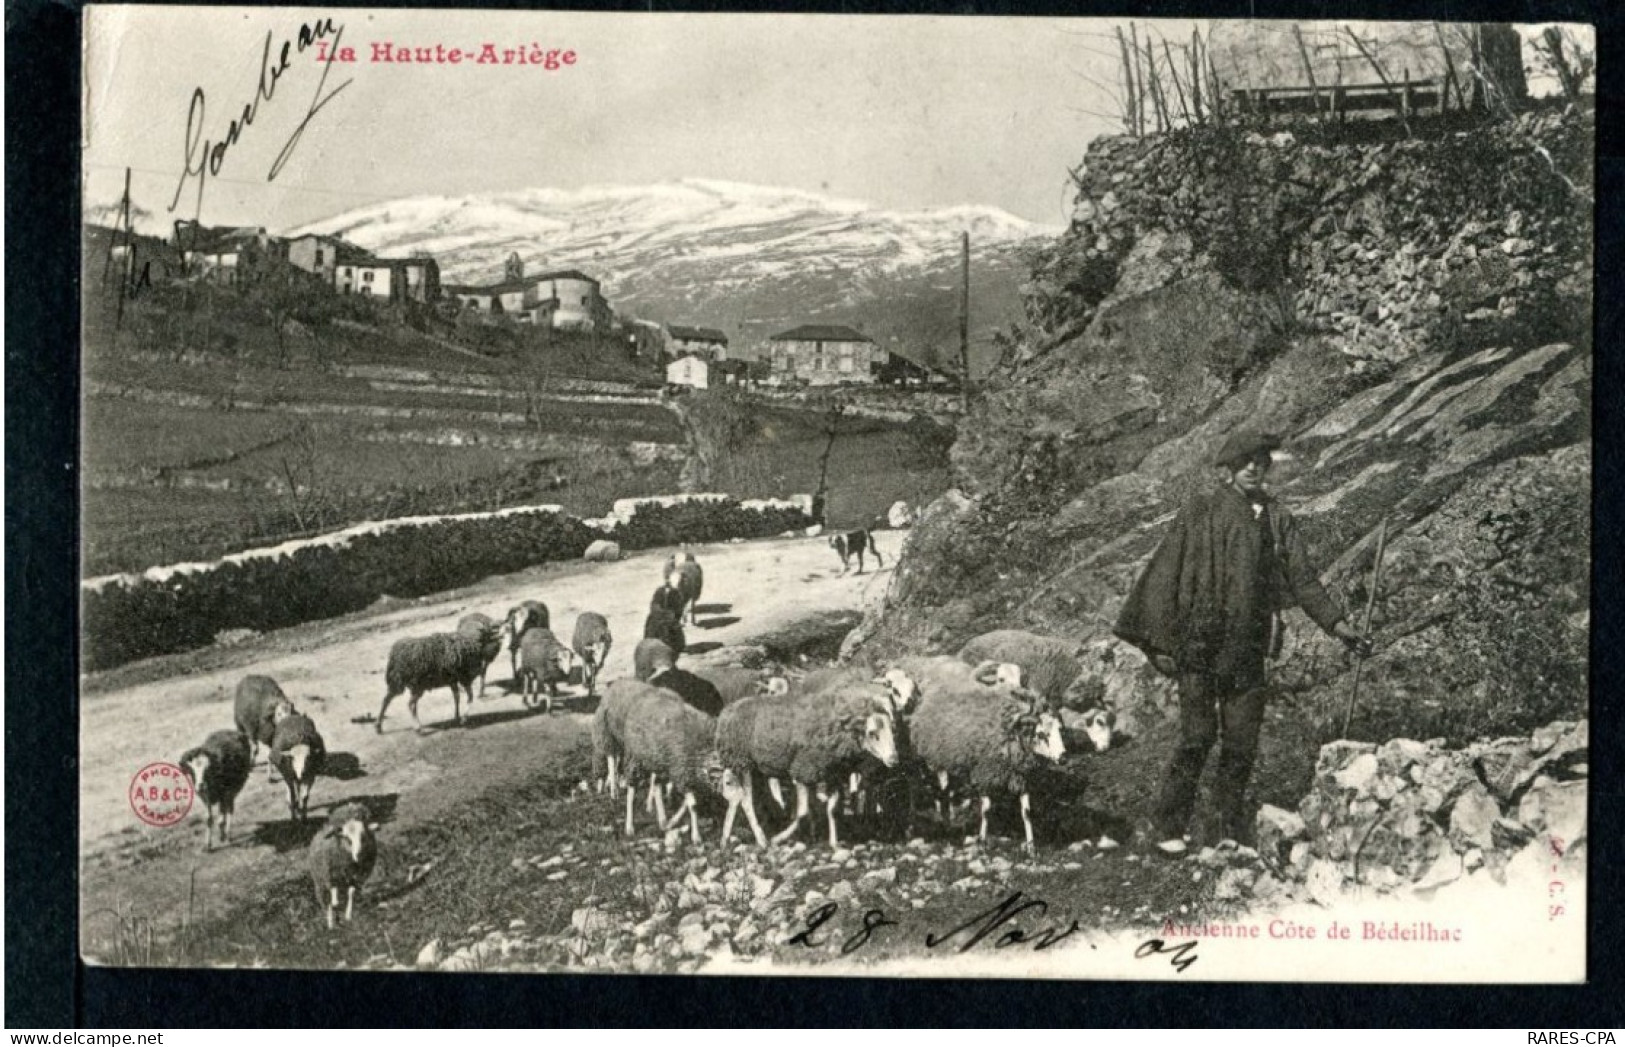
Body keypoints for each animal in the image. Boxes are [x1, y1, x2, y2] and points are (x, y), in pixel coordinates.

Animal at [721, 679, 910, 851]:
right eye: (872, 734)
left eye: (892, 730)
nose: (894, 759)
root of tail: (730, 709)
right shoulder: (803, 771)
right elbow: (803, 812)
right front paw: (779, 838)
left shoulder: (832, 775)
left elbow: (832, 809)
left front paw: (833, 843)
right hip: (742, 762)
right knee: (746, 801)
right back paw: (762, 840)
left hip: (756, 768)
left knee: (737, 799)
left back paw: (725, 839)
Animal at [910, 682, 1059, 851]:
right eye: (1042, 734)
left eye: (1059, 730)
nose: (1063, 755)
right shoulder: (985, 774)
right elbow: (986, 811)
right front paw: (982, 841)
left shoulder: (1023, 778)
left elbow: (1027, 813)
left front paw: (1031, 846)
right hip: (938, 759)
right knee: (942, 789)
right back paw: (944, 816)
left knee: (950, 790)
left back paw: (953, 814)